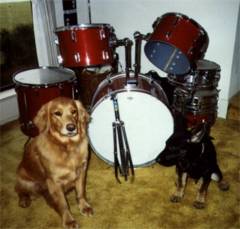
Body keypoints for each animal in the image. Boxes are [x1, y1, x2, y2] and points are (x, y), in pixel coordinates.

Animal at [15, 97, 93, 229]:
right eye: (57, 113)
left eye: (74, 111)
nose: (71, 127)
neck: (67, 147)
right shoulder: (54, 182)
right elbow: (63, 204)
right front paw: (69, 220)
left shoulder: (82, 171)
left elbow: (81, 192)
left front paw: (84, 207)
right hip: (24, 179)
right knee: (19, 190)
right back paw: (24, 200)